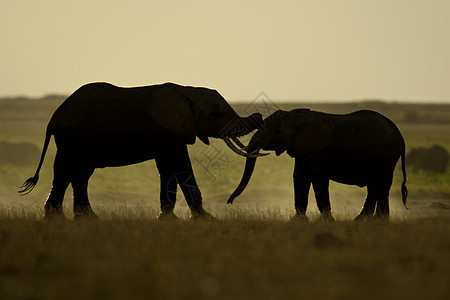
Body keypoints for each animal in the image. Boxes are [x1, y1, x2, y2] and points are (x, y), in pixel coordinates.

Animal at [18, 82, 264, 220]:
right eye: (215, 114)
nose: (260, 116)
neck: (187, 91)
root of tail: (54, 118)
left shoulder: (172, 135)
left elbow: (170, 170)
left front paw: (168, 219)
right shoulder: (166, 132)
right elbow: (179, 167)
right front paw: (207, 219)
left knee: (79, 175)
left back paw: (86, 218)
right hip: (72, 140)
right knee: (66, 172)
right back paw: (57, 218)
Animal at [229, 109, 408, 220]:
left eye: (278, 132)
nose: (229, 202)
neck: (298, 117)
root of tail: (399, 133)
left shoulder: (320, 150)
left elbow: (318, 179)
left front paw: (326, 221)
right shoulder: (303, 149)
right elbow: (299, 177)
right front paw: (298, 221)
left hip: (385, 156)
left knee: (376, 184)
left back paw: (360, 221)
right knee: (383, 186)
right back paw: (379, 222)